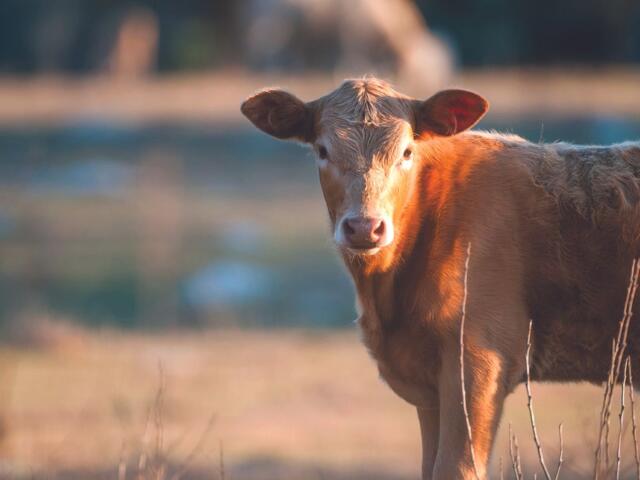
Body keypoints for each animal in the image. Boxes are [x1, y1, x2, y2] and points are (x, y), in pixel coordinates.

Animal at [240, 77, 640, 479]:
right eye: (322, 150)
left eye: (406, 151)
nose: (364, 227)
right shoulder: (430, 383)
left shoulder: (479, 361)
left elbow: (457, 467)